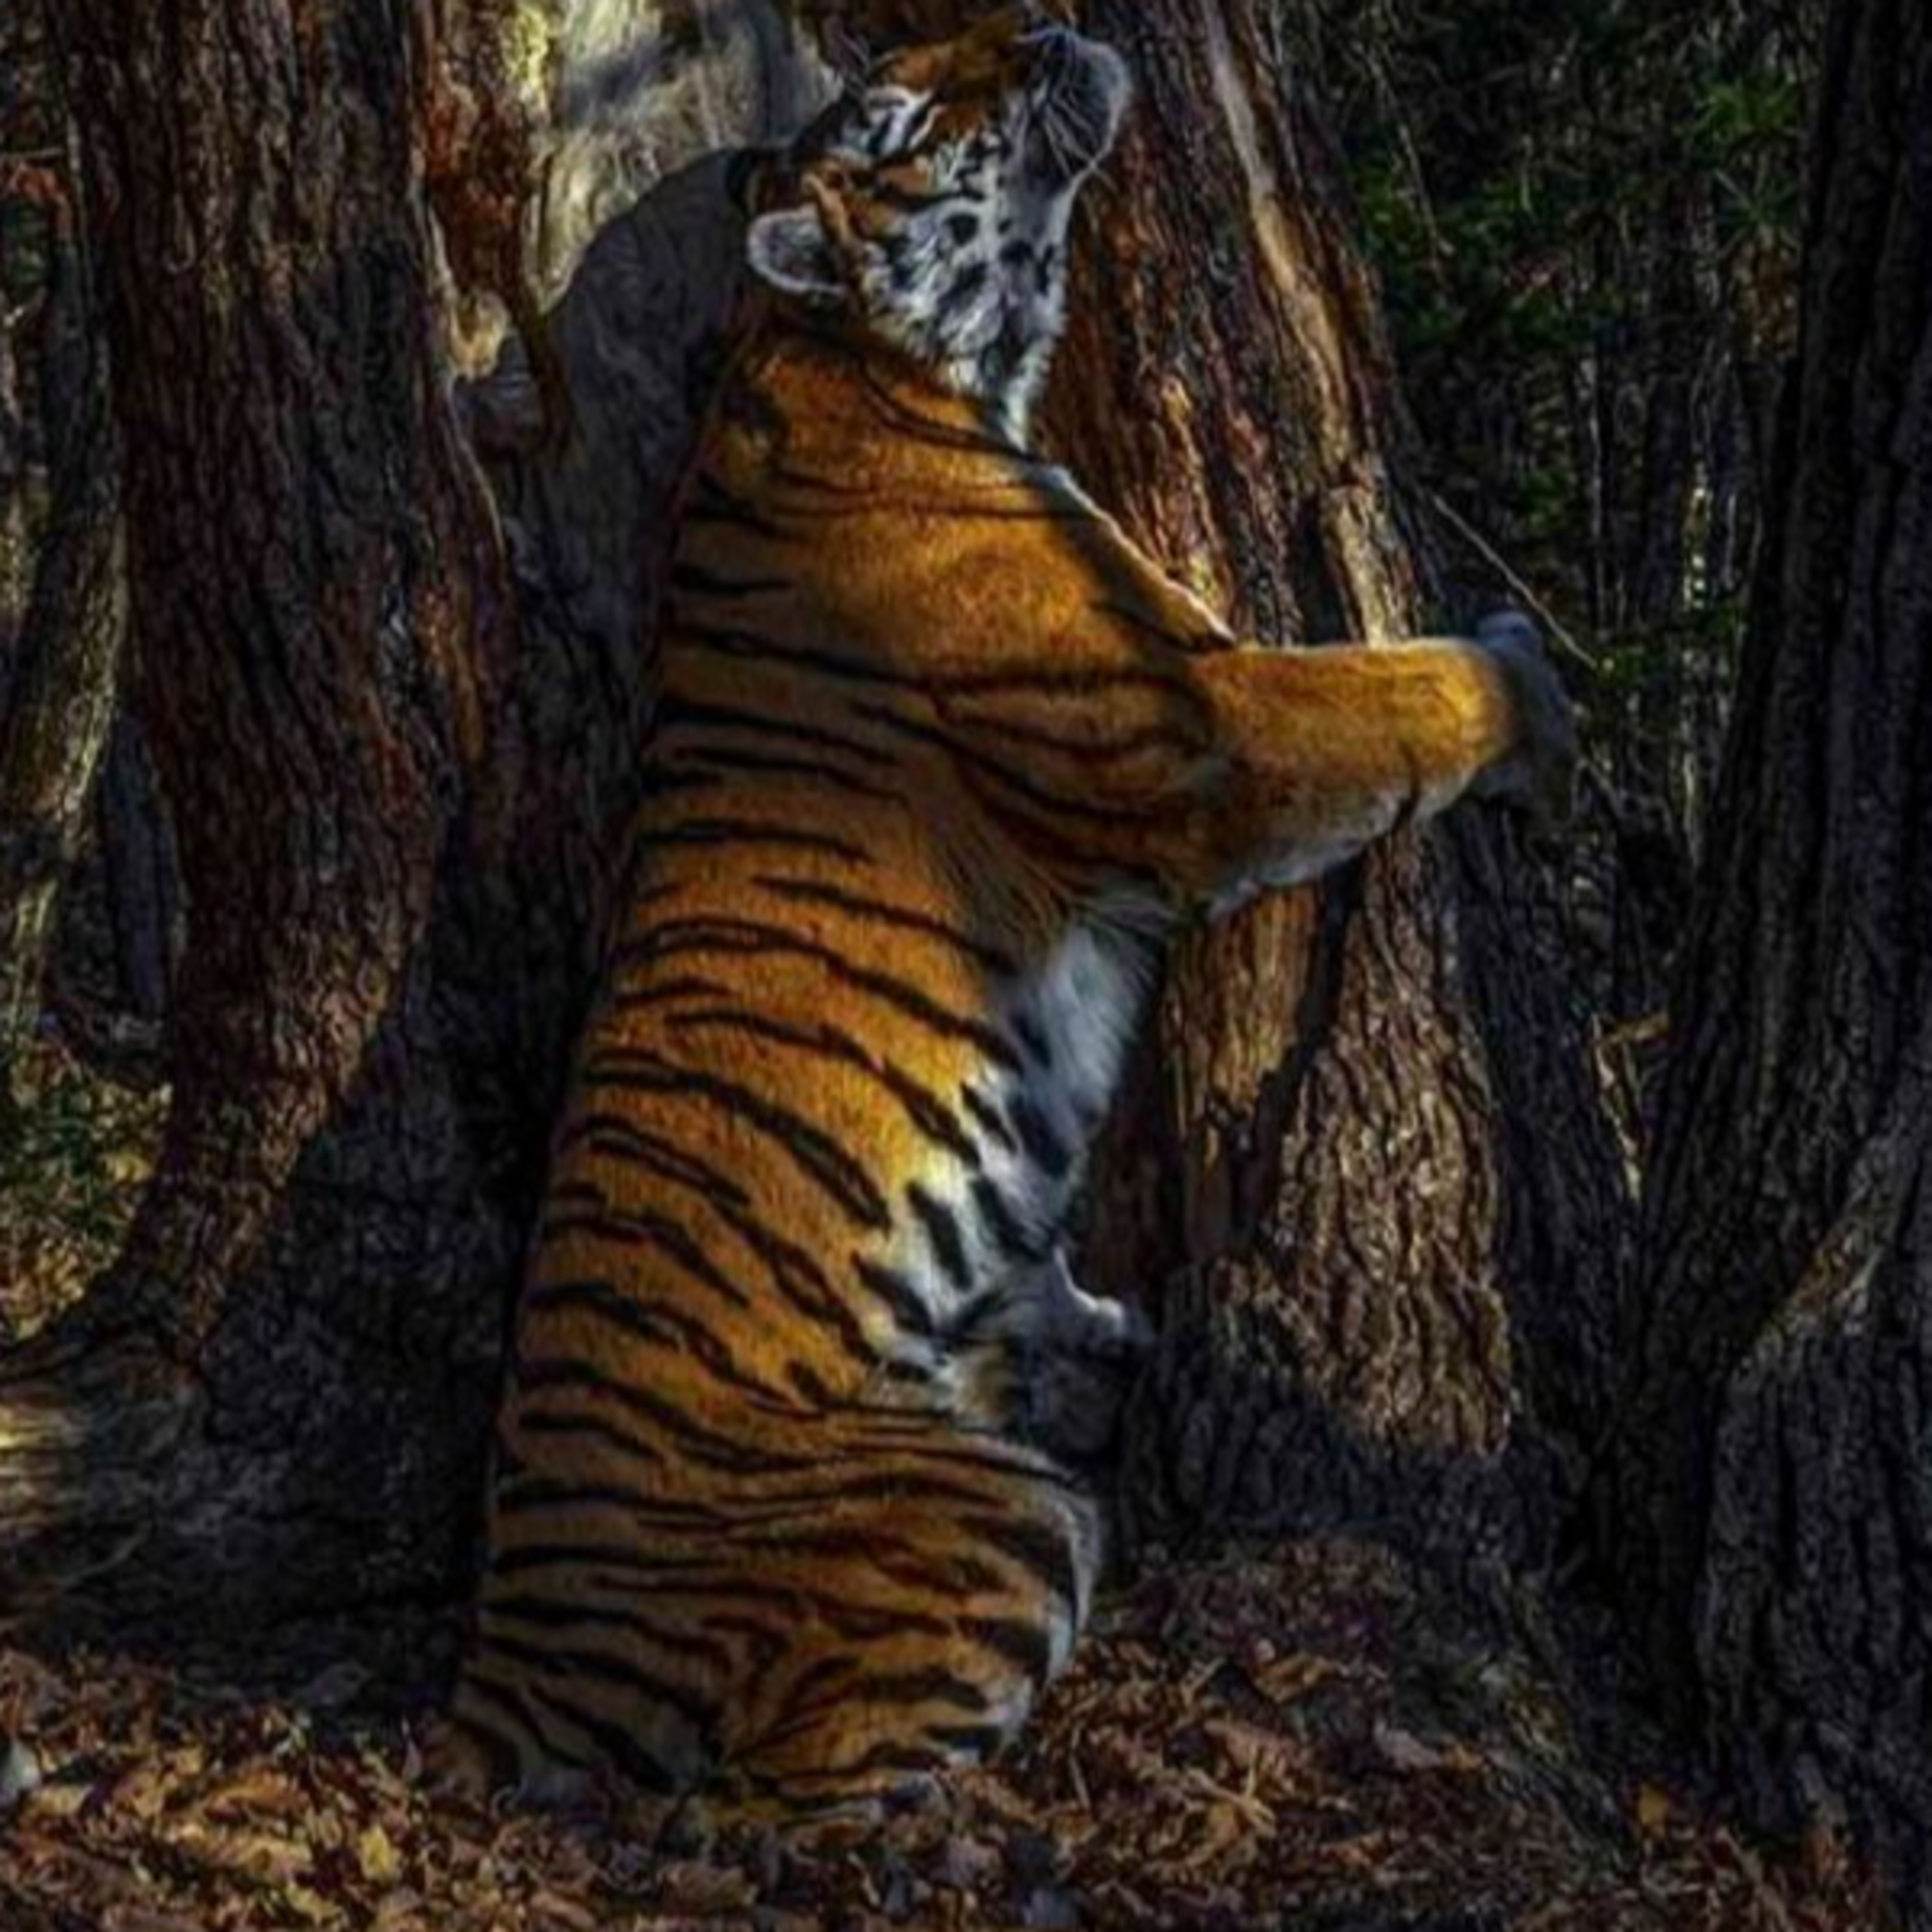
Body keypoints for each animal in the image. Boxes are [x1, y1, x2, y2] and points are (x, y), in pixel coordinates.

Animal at [437, 4, 1576, 1819]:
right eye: (902, 117)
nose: (1046, 26)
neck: (852, 363)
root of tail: (500, 1665)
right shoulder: (1198, 727)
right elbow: (1392, 694)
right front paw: (1532, 682)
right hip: (992, 1523)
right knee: (787, 1803)